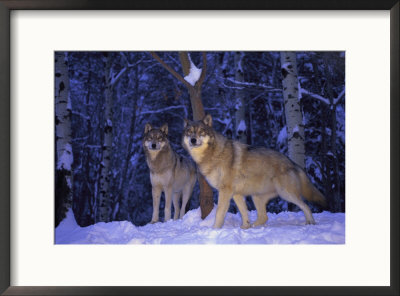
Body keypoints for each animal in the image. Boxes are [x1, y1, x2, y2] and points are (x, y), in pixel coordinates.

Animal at [183, 114, 326, 229]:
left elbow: (219, 213)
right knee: (264, 217)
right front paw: (245, 227)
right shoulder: (236, 194)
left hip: (286, 194)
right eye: (189, 132)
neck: (212, 154)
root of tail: (293, 163)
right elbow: (244, 213)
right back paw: (252, 227)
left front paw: (214, 230)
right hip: (256, 196)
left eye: (201, 132)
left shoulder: (225, 191)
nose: (193, 140)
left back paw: (311, 223)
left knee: (305, 206)